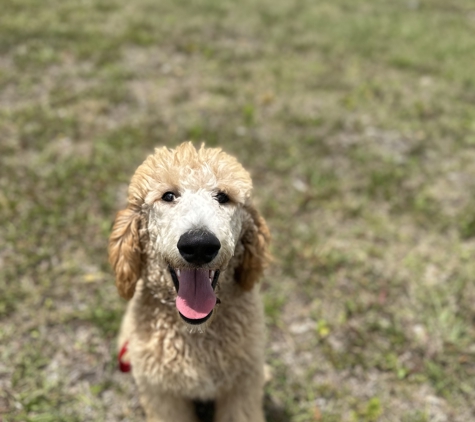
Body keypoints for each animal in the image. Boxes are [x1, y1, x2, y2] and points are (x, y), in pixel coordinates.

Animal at [109, 143, 272, 422]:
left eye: (223, 197)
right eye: (168, 196)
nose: (198, 245)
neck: (195, 334)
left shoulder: (242, 386)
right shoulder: (162, 394)